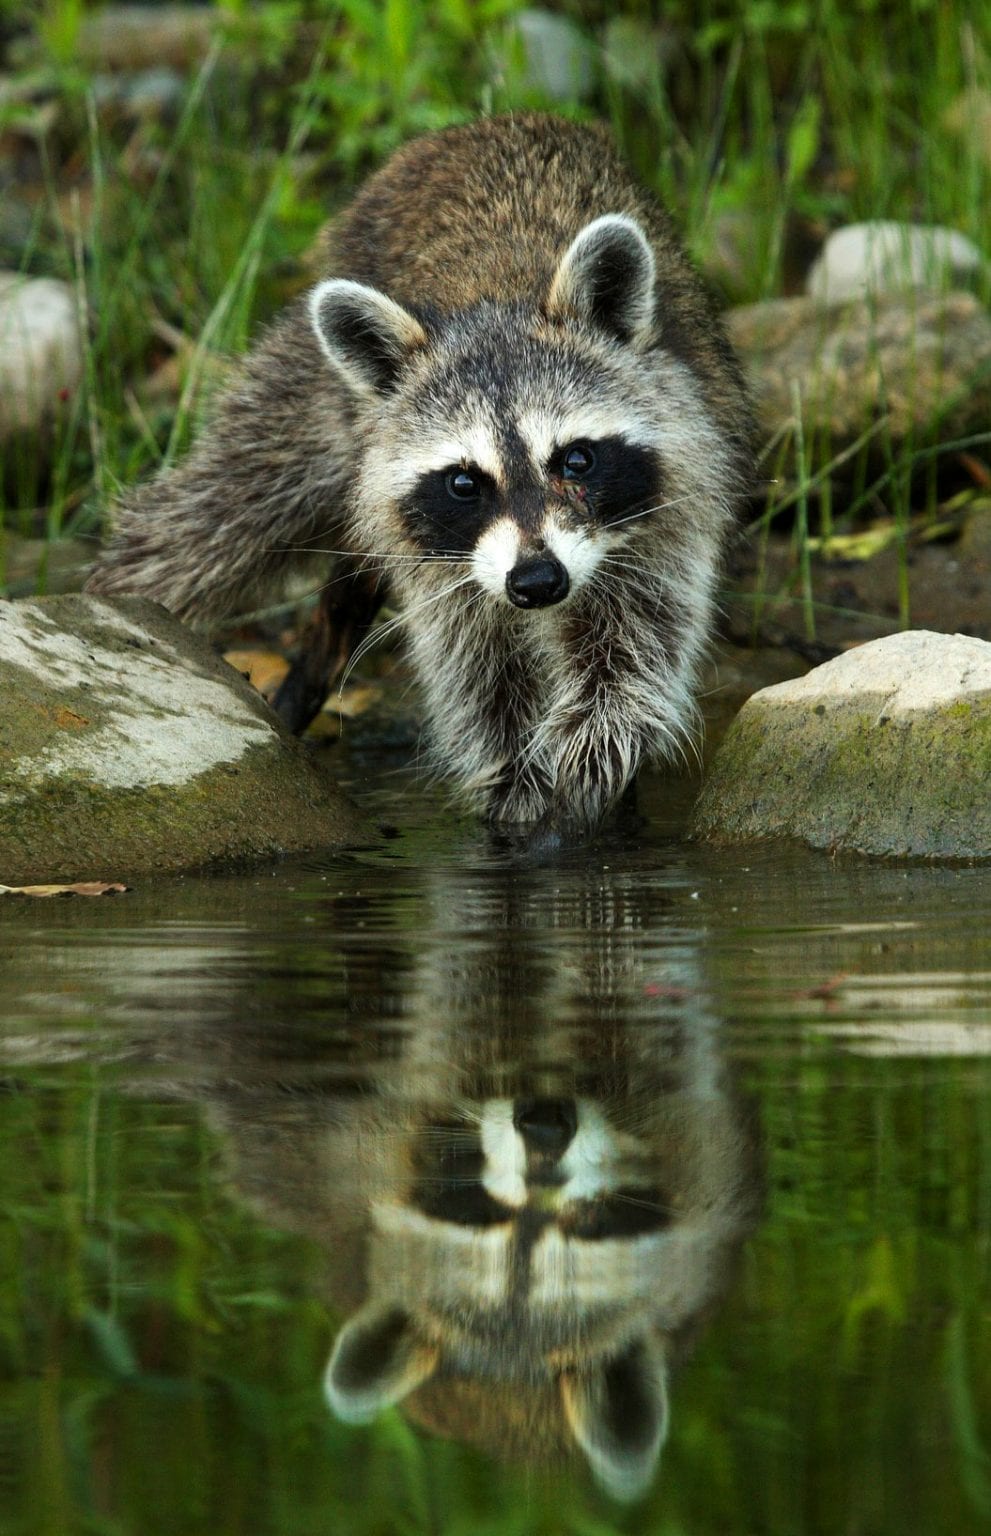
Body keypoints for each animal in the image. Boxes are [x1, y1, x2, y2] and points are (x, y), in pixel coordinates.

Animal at [86, 113, 749, 835]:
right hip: (311, 392)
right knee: (208, 518)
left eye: (575, 459)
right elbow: (476, 673)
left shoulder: (674, 492)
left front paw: (592, 755)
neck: (498, 297)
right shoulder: (438, 561)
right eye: (464, 482)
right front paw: (515, 785)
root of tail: (480, 126)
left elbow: (636, 640)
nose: (537, 582)